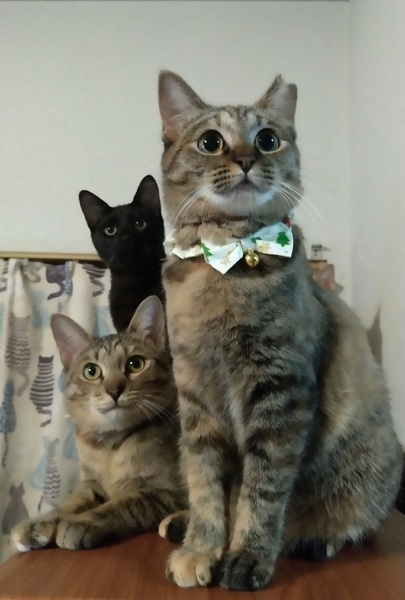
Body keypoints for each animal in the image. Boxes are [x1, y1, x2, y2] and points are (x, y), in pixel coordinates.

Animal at [11, 296, 186, 552]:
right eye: (91, 371)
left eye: (135, 364)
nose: (114, 390)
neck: (110, 445)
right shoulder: (91, 484)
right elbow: (69, 503)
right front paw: (39, 523)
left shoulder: (167, 490)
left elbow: (124, 504)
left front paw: (83, 522)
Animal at [156, 71, 403, 591]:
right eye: (211, 142)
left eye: (268, 139)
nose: (246, 159)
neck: (224, 264)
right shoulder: (196, 398)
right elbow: (205, 484)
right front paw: (202, 547)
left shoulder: (280, 392)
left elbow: (261, 491)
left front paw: (247, 556)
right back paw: (181, 524)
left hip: (369, 469)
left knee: (356, 521)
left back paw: (317, 540)